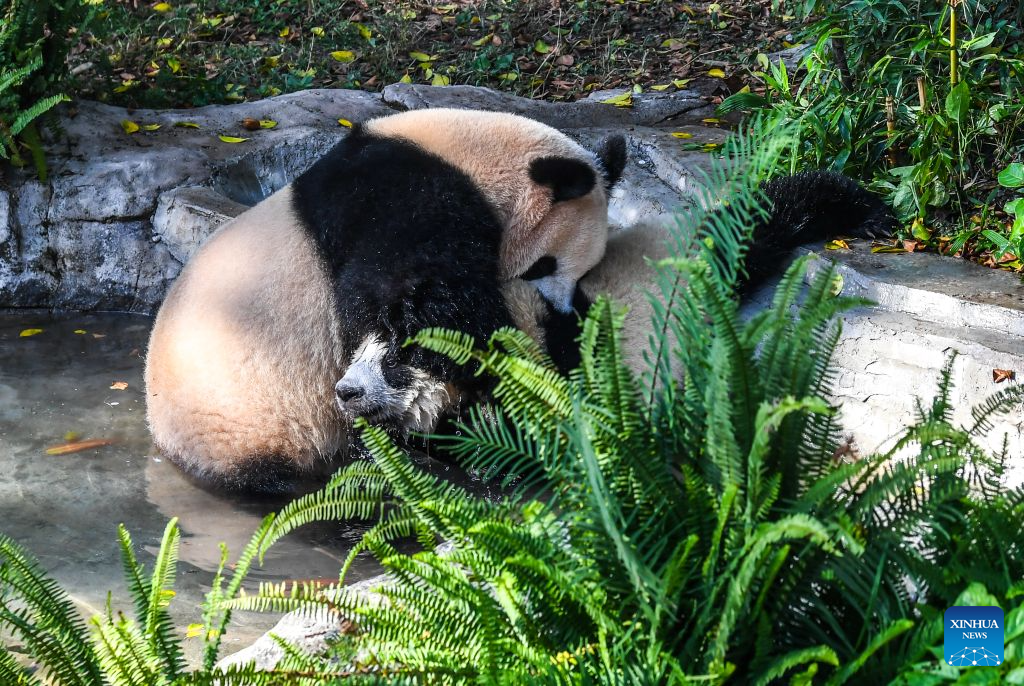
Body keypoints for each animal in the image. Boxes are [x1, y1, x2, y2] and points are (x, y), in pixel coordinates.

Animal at [145, 109, 625, 492]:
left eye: (585, 274)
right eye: (543, 266)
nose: (562, 310)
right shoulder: (399, 198)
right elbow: (409, 298)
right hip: (246, 415)